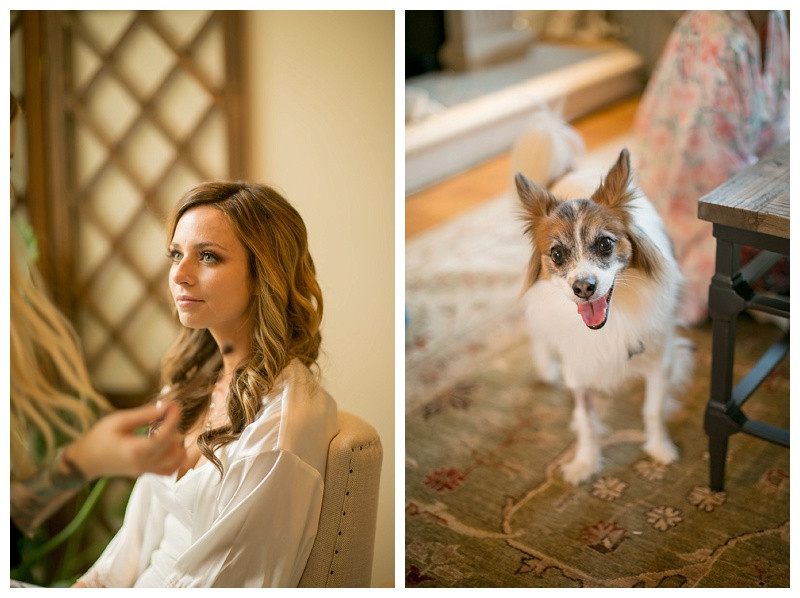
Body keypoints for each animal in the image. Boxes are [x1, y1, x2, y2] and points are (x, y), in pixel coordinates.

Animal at [516, 146, 692, 488]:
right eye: (557, 254)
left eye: (605, 244)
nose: (584, 287)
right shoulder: (577, 368)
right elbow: (587, 420)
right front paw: (584, 464)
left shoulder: (659, 360)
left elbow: (652, 410)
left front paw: (659, 449)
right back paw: (545, 370)